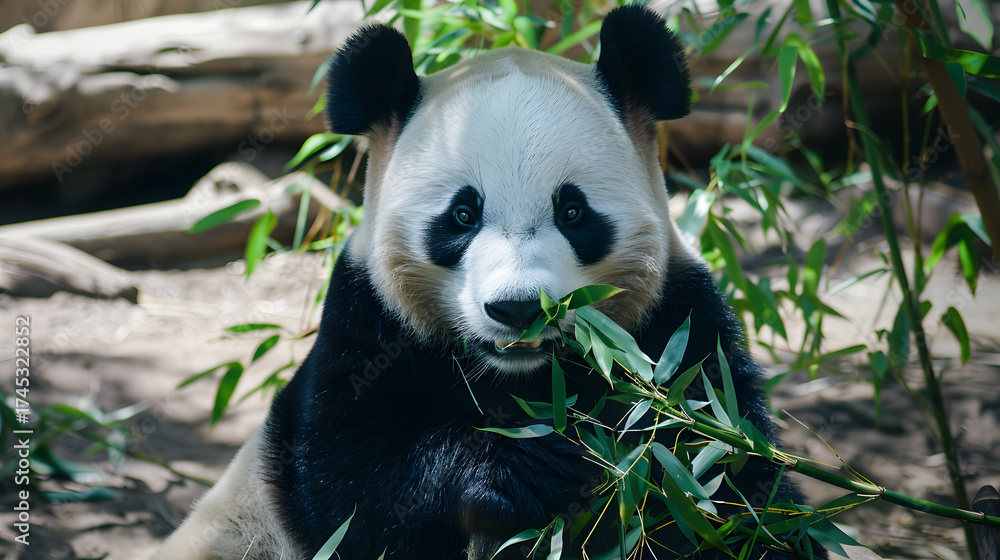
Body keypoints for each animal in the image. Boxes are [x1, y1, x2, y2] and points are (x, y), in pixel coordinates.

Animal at [155, 6, 822, 560]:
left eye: (573, 212)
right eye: (461, 215)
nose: (520, 309)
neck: (521, 379)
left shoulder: (676, 329)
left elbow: (725, 478)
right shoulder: (366, 323)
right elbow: (351, 488)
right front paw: (521, 472)